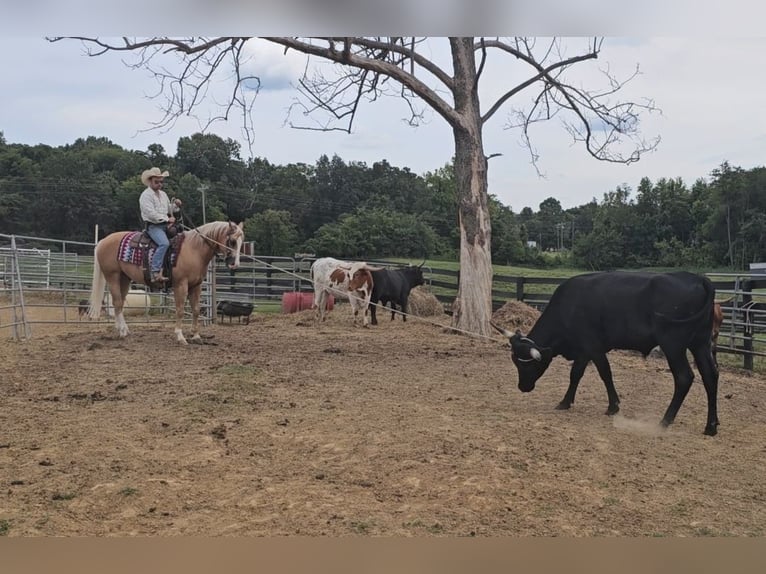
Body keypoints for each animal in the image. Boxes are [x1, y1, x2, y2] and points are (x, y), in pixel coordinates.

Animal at [89, 223, 246, 344]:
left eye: (241, 242)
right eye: (232, 241)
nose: (235, 264)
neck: (193, 249)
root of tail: (103, 241)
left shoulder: (196, 285)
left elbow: (195, 310)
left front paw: (196, 336)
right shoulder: (181, 285)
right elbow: (180, 310)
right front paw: (180, 336)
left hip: (124, 278)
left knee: (120, 303)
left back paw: (124, 330)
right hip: (112, 276)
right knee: (116, 302)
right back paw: (122, 331)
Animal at [492, 274, 720, 436]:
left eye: (527, 364)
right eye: (515, 362)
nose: (523, 387)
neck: (569, 306)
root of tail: (697, 278)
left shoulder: (594, 347)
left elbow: (605, 374)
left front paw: (613, 406)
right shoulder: (583, 350)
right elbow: (575, 375)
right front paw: (565, 402)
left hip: (673, 345)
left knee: (684, 377)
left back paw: (665, 420)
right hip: (700, 344)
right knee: (710, 376)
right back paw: (711, 425)